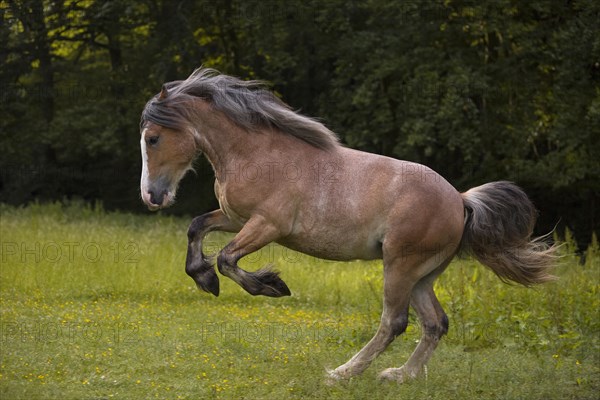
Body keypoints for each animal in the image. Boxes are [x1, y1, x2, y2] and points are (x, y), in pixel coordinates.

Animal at [138, 67, 556, 382]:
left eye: (153, 138)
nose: (151, 197)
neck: (256, 154)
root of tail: (460, 200)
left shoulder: (267, 226)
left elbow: (226, 259)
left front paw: (272, 286)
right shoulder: (234, 217)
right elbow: (196, 228)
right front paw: (205, 279)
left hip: (400, 266)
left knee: (395, 322)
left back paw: (343, 373)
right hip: (423, 275)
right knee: (436, 323)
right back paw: (399, 376)